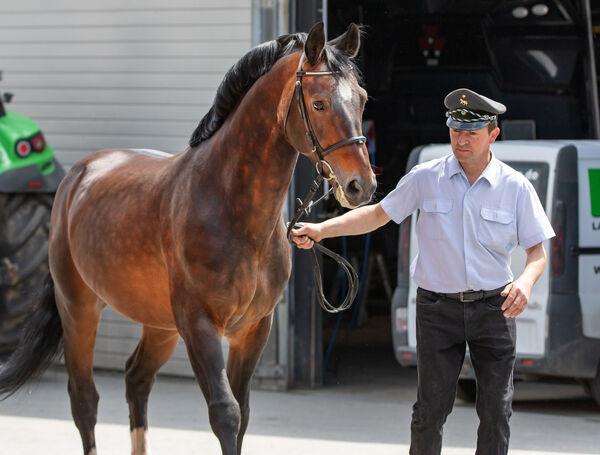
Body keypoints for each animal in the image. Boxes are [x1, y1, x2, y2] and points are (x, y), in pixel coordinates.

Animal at [0, 22, 376, 455]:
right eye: (318, 103)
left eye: (361, 99)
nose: (360, 186)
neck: (230, 205)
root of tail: (77, 176)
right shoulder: (200, 324)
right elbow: (226, 413)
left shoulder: (253, 329)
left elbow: (243, 413)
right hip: (78, 309)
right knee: (84, 400)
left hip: (159, 324)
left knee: (136, 379)